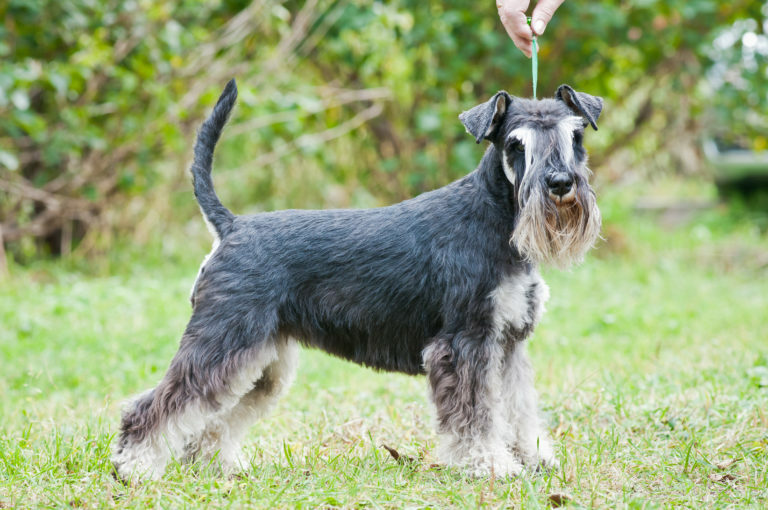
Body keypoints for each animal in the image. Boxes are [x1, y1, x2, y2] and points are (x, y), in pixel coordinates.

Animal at [114, 77, 604, 480]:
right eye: (516, 144)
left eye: (575, 136)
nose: (560, 183)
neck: (498, 220)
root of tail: (231, 226)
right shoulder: (465, 343)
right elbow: (477, 414)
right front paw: (489, 464)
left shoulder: (508, 343)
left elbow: (518, 407)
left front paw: (534, 457)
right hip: (221, 341)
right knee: (157, 404)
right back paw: (134, 467)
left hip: (260, 361)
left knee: (214, 416)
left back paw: (213, 465)